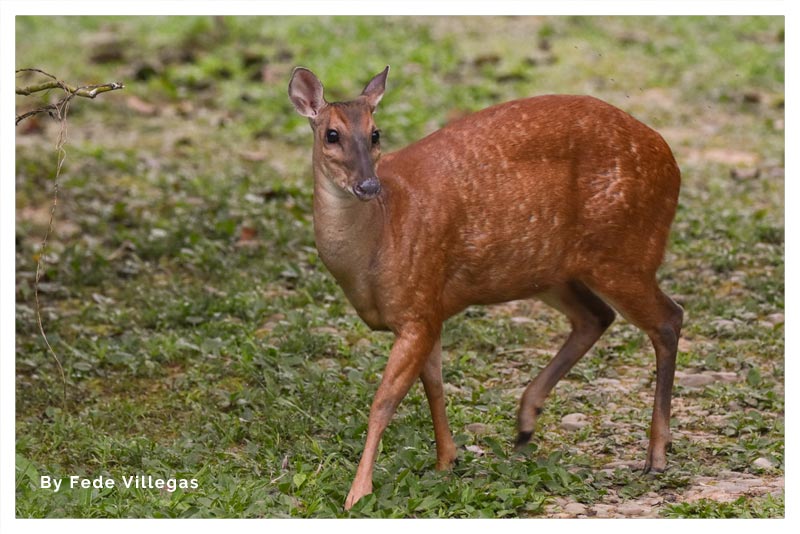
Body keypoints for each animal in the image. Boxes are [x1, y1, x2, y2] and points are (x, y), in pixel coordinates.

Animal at [286, 66, 680, 510]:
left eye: (375, 133)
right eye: (331, 134)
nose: (368, 186)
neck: (380, 239)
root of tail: (671, 161)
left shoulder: (417, 307)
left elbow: (384, 401)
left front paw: (358, 493)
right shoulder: (431, 310)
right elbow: (434, 386)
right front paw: (446, 461)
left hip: (625, 252)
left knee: (668, 319)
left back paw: (656, 455)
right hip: (552, 270)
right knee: (596, 316)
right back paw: (525, 424)